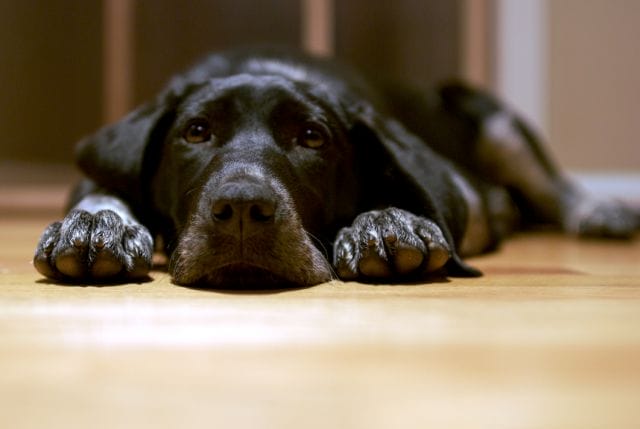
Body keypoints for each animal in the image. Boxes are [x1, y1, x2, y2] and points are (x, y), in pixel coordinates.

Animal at [33, 46, 640, 288]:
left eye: (312, 137)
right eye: (197, 132)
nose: (243, 211)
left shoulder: (464, 191)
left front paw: (385, 222)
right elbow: (102, 193)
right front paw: (98, 226)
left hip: (491, 117)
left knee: (555, 186)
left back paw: (602, 210)